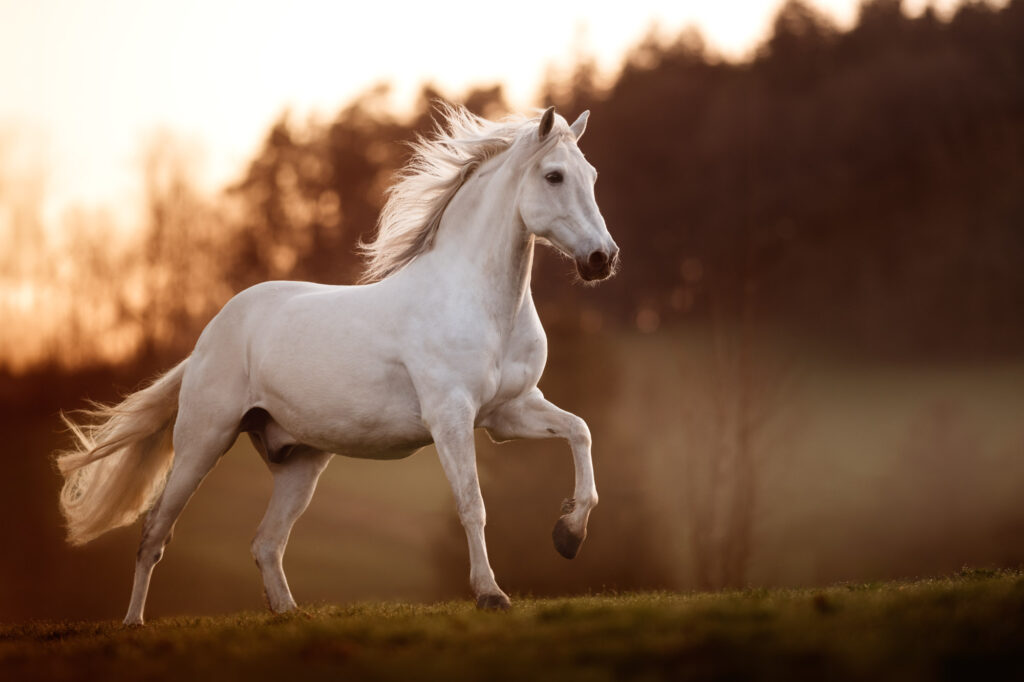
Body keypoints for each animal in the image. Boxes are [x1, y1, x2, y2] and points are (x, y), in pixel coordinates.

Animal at [56, 104, 619, 625]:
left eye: (592, 175)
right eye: (554, 175)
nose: (602, 259)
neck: (483, 305)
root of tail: (206, 340)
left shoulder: (509, 412)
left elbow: (581, 432)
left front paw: (568, 535)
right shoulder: (452, 417)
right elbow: (472, 503)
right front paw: (491, 594)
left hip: (300, 460)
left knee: (266, 542)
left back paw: (289, 614)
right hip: (203, 440)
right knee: (155, 531)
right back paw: (133, 623)